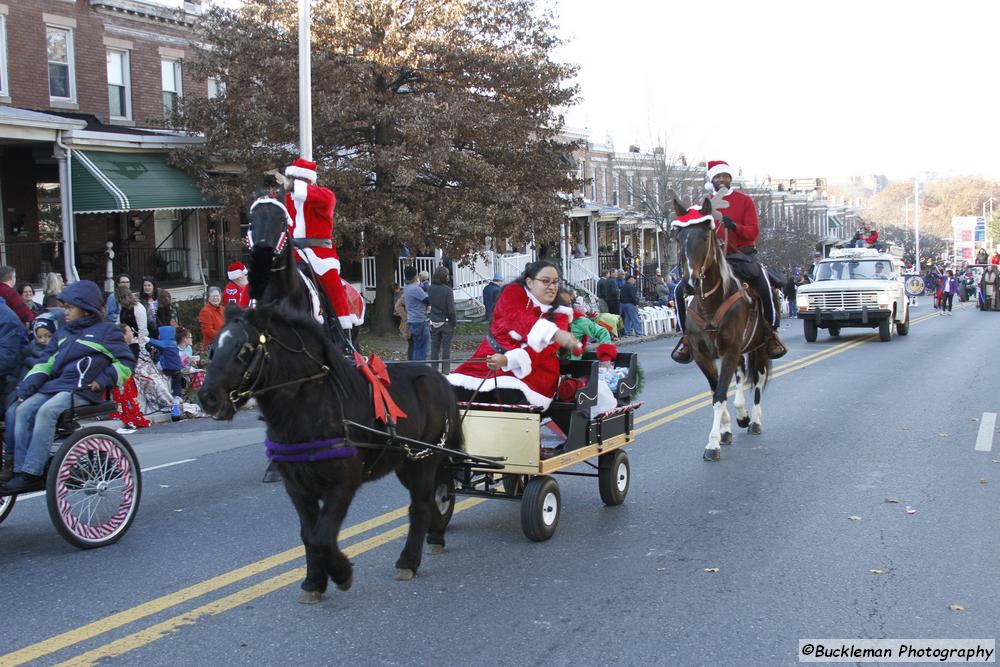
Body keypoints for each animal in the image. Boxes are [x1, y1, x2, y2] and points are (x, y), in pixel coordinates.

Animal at [199, 247, 464, 604]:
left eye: (245, 349)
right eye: (214, 347)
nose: (208, 397)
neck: (308, 408)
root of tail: (439, 377)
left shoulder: (343, 483)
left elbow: (323, 535)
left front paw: (341, 573)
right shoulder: (297, 487)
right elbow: (308, 534)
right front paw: (313, 581)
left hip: (426, 457)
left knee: (421, 504)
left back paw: (408, 560)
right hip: (407, 462)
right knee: (431, 498)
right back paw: (435, 535)